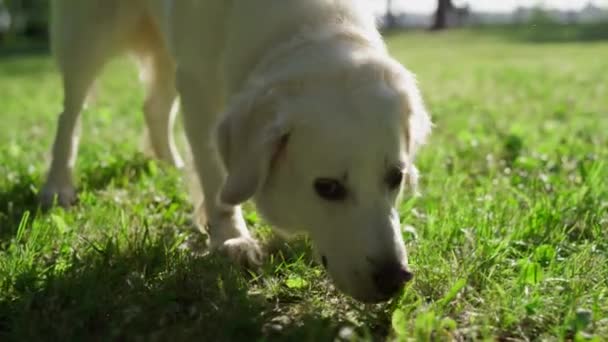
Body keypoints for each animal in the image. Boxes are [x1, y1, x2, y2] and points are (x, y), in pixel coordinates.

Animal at [41, 0, 432, 302]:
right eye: (328, 188)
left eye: (395, 178)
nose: (396, 278)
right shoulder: (197, 85)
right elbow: (214, 175)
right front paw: (231, 238)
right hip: (90, 35)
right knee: (69, 114)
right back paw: (57, 185)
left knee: (153, 107)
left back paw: (170, 165)